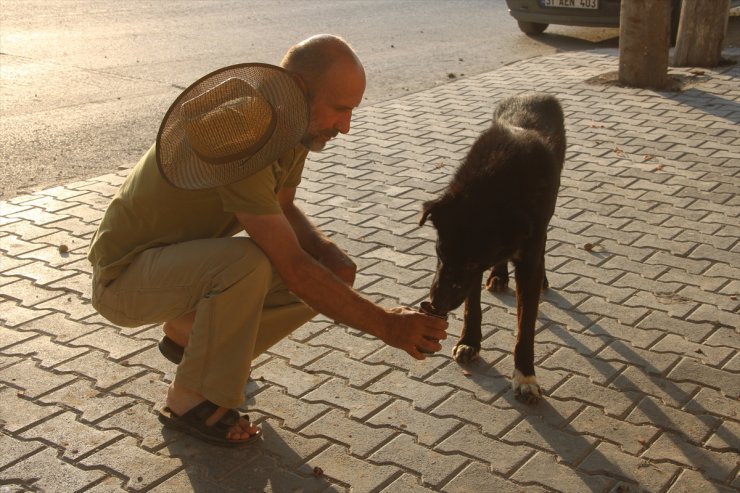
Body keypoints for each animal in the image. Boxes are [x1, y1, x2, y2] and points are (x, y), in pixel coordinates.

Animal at [420, 93, 564, 404]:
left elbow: (526, 325)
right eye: (439, 253)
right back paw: (499, 275)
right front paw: (469, 342)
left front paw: (525, 377)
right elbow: (471, 306)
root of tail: (531, 94)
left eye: (472, 263)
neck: (493, 186)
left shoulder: (525, 253)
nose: (436, 304)